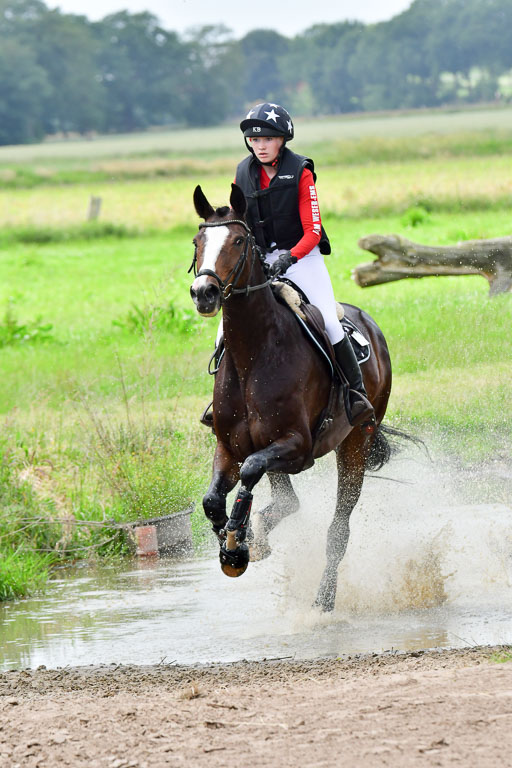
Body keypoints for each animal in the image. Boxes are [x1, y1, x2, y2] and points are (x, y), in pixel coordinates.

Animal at [189, 183, 393, 612]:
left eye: (238, 240)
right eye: (198, 242)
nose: (204, 293)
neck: (254, 353)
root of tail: (369, 323)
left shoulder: (297, 447)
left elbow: (251, 472)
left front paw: (238, 542)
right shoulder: (230, 446)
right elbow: (213, 499)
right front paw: (234, 546)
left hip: (355, 442)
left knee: (338, 530)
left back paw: (324, 601)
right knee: (286, 500)